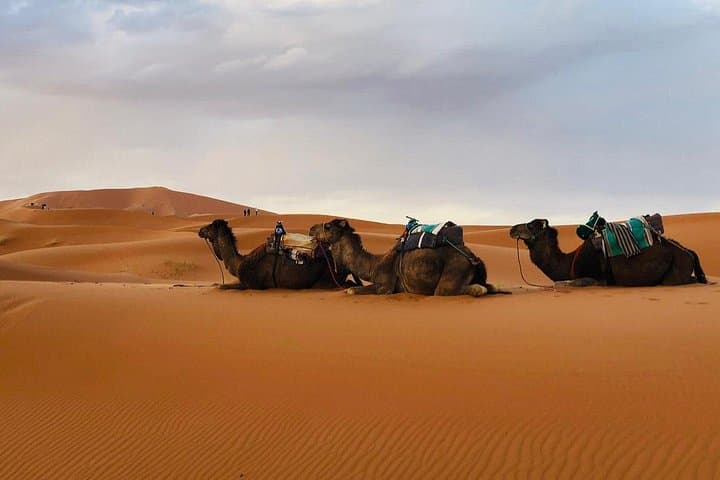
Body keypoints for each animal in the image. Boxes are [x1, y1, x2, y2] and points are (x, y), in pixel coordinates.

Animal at [198, 219, 356, 289]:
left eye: (210, 226)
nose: (200, 230)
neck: (239, 263)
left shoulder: (253, 285)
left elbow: (223, 287)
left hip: (326, 280)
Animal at [309, 219, 503, 296]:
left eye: (328, 226)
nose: (311, 228)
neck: (374, 265)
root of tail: (474, 259)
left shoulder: (385, 286)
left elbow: (351, 290)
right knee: (490, 286)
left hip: (452, 275)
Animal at [509, 219, 707, 286]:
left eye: (531, 225)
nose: (512, 229)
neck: (570, 261)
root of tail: (688, 252)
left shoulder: (595, 279)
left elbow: (560, 284)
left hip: (675, 271)